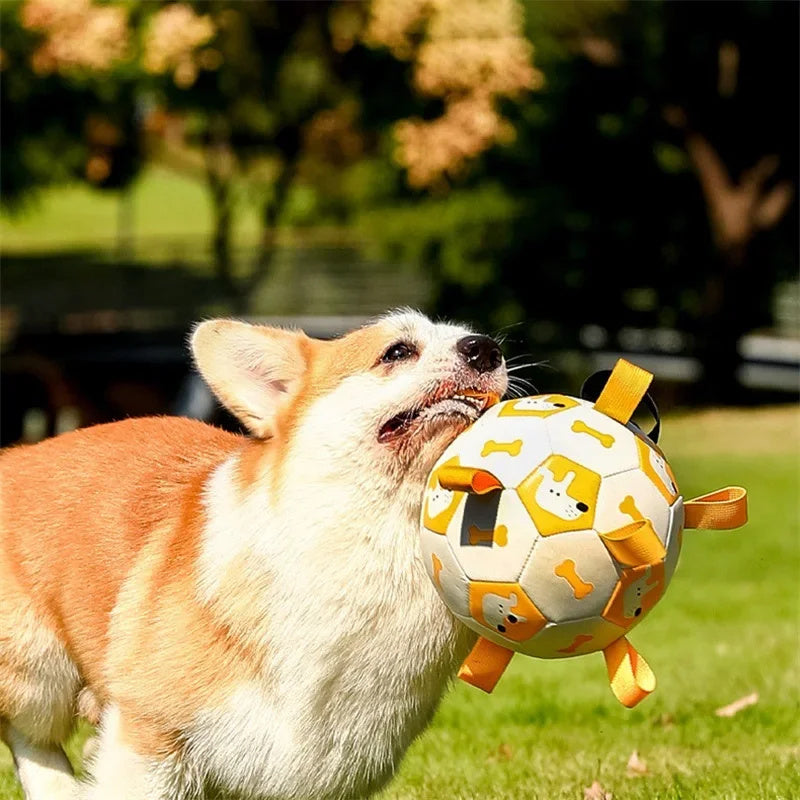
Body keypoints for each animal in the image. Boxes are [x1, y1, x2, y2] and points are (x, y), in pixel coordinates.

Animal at [1, 310, 506, 800]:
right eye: (398, 351)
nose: (486, 349)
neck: (383, 535)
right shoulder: (150, 738)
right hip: (38, 670)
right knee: (31, 735)